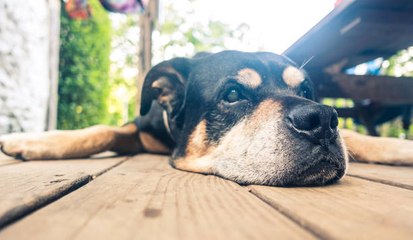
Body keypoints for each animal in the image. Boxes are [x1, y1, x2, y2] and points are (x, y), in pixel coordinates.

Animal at [0, 52, 412, 188]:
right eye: (231, 94)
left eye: (308, 91)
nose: (322, 118)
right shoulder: (141, 126)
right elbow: (104, 130)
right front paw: (35, 140)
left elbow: (359, 137)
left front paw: (397, 146)